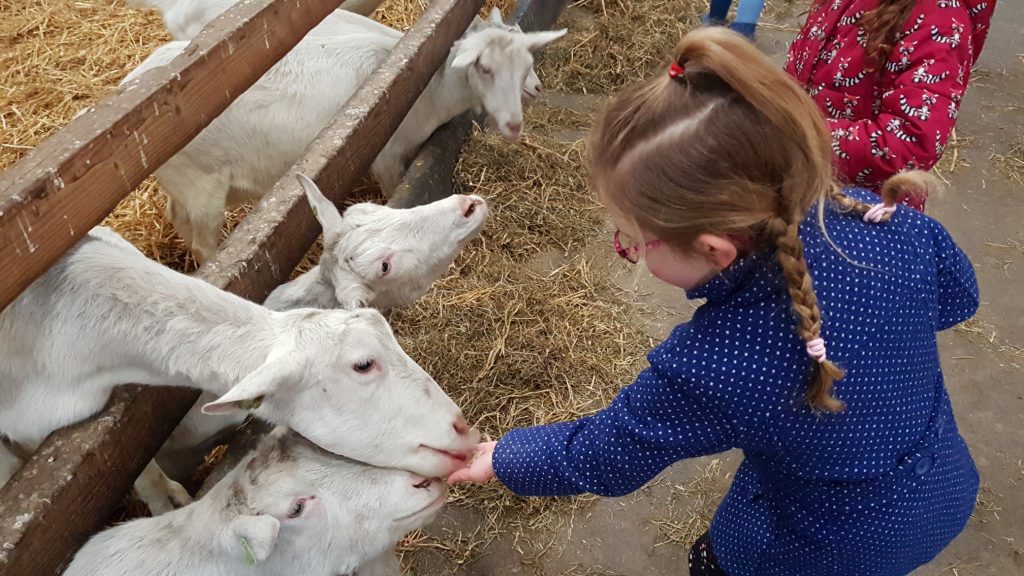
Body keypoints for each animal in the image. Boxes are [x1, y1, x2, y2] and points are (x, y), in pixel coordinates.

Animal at [120, 9, 569, 260]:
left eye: (527, 59)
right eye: (485, 68)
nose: (515, 123)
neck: (423, 84)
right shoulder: (387, 157)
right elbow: (397, 200)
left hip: (191, 186)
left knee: (177, 218)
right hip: (202, 184)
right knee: (203, 244)